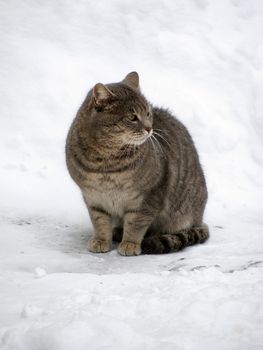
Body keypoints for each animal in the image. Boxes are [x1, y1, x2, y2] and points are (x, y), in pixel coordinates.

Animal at [65, 72, 209, 256]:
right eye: (132, 117)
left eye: (148, 113)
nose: (149, 128)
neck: (106, 164)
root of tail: (200, 220)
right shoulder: (93, 197)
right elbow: (100, 222)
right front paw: (101, 240)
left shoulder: (147, 198)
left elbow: (136, 225)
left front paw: (130, 244)